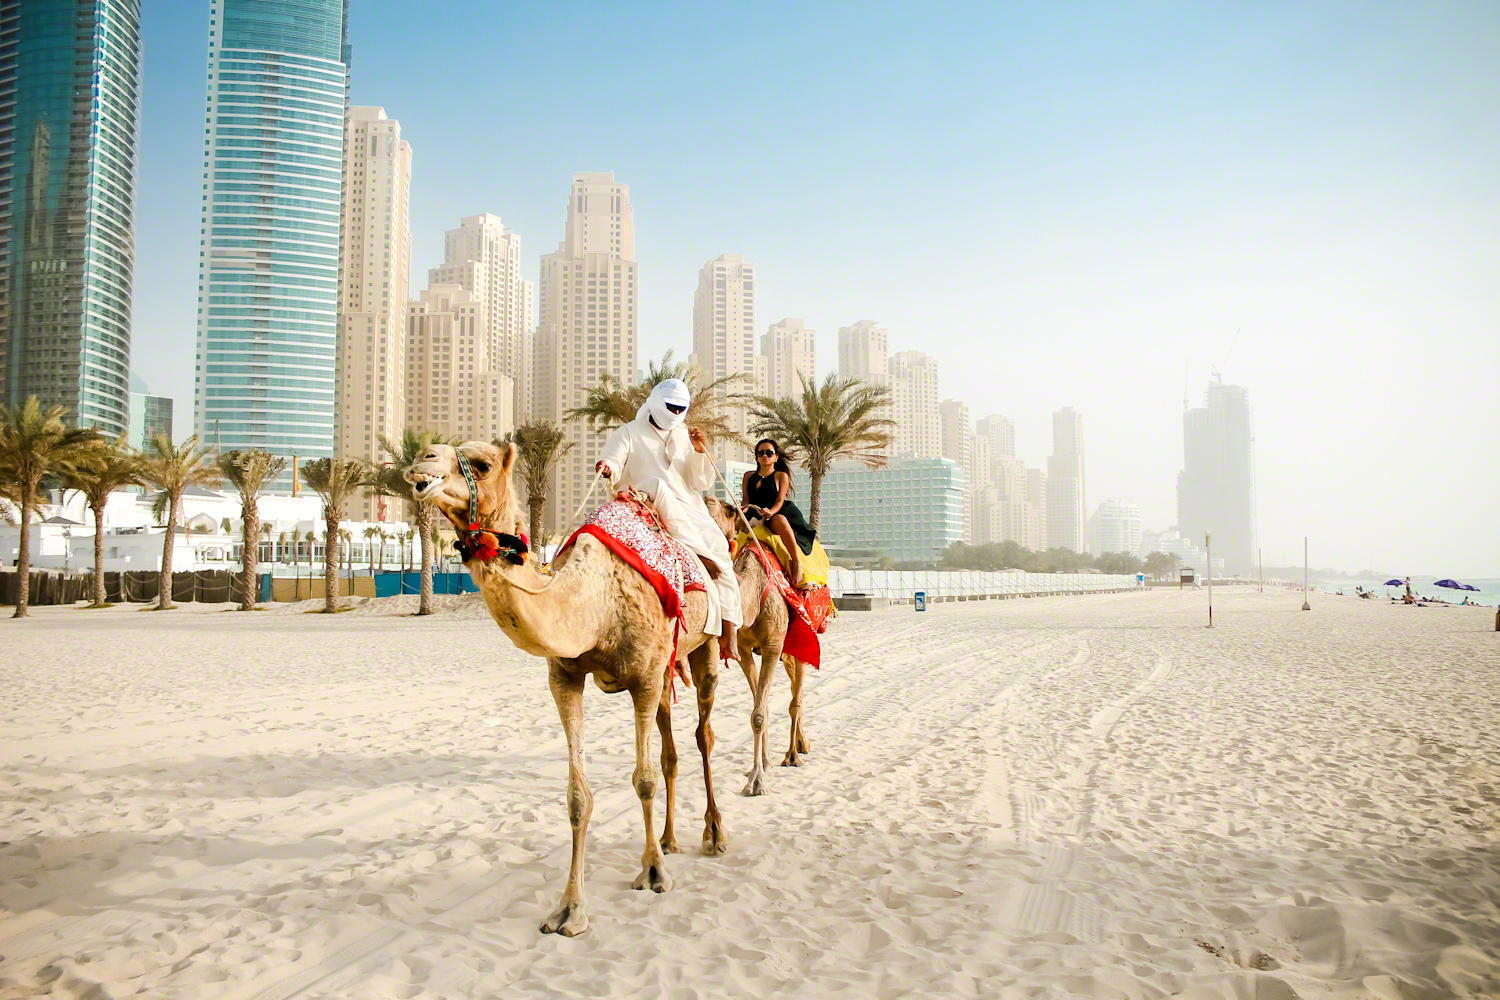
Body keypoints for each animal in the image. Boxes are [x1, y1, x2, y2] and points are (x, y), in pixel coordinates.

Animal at [405, 440, 732, 935]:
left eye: (481, 465)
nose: (422, 461)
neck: (593, 603)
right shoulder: (565, 678)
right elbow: (579, 797)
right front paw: (570, 908)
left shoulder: (641, 677)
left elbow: (643, 779)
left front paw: (653, 872)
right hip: (665, 670)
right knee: (671, 751)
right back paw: (670, 838)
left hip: (705, 643)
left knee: (704, 735)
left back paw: (713, 834)